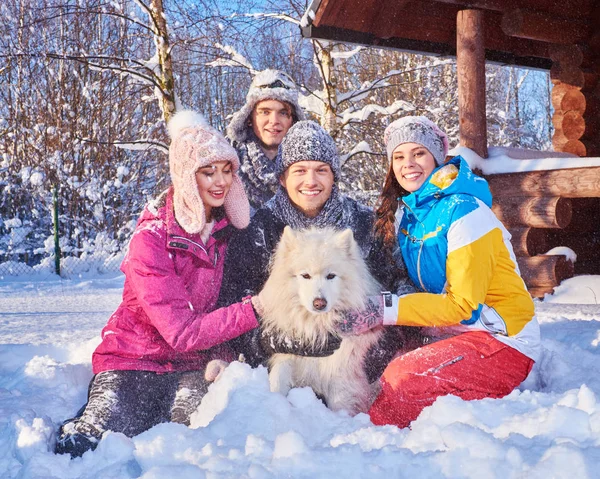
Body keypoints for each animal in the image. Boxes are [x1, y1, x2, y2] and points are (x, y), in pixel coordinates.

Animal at [207, 227, 384, 414]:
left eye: (331, 276)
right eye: (305, 275)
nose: (319, 303)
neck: (315, 327)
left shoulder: (340, 372)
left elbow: (339, 406)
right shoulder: (286, 357)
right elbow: (277, 381)